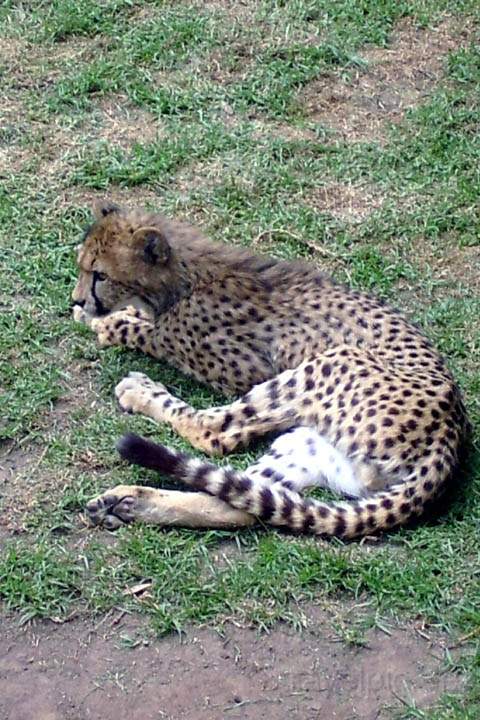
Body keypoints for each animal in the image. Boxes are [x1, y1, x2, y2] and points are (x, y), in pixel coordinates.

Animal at [73, 200, 470, 536]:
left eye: (100, 275)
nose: (77, 299)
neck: (183, 277)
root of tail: (448, 441)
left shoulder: (237, 368)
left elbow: (148, 334)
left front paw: (105, 322)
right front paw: (103, 314)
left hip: (328, 364)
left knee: (215, 433)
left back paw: (140, 393)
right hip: (306, 445)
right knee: (245, 503)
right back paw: (125, 502)